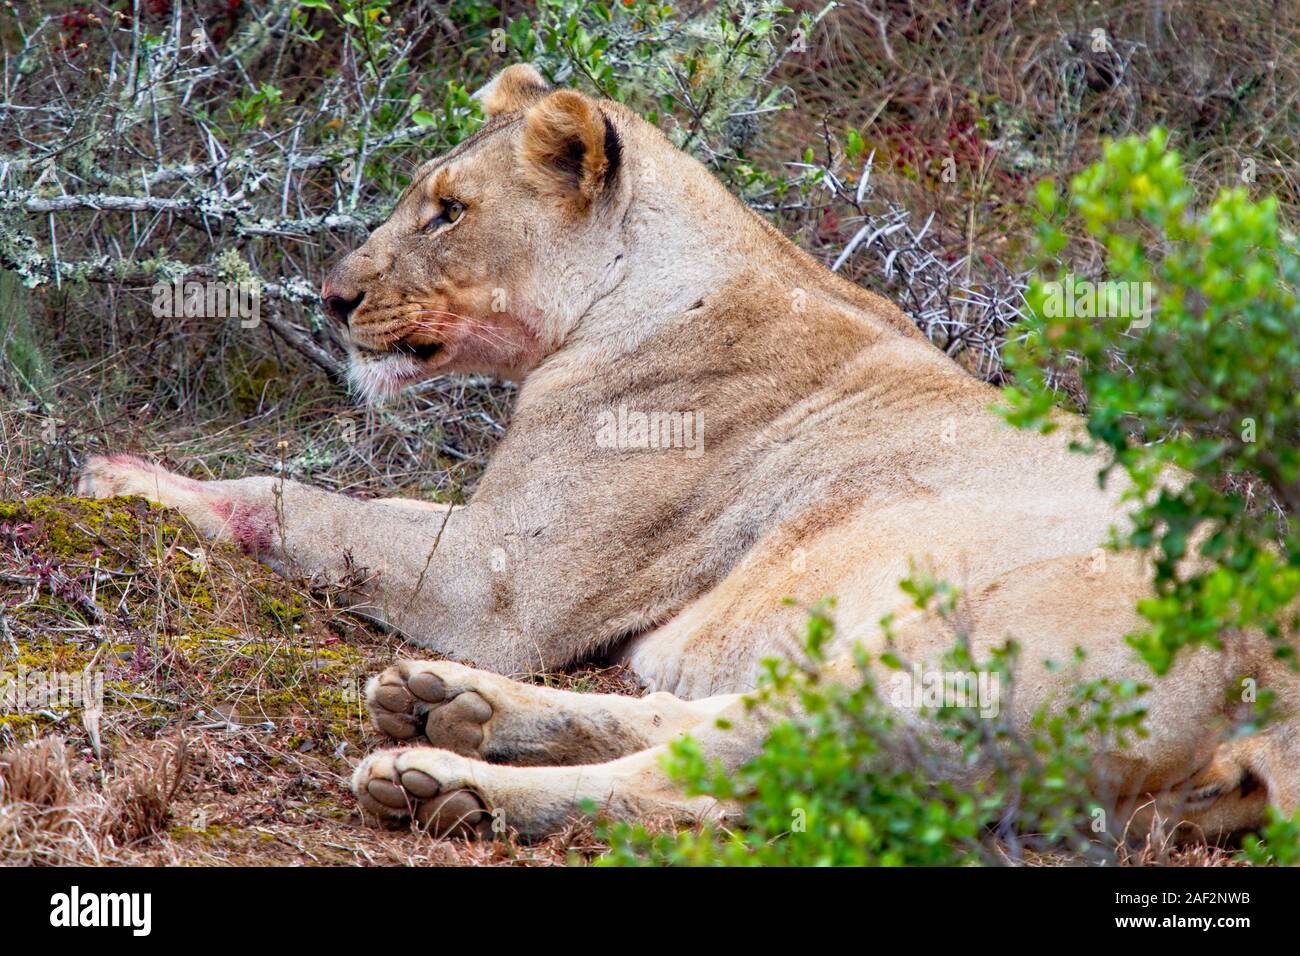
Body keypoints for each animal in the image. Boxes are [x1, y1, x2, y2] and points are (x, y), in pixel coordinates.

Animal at [78, 67, 1289, 842]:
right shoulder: (493, 546)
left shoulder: (499, 583)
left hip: (956, 672)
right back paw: (443, 704)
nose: (331, 298)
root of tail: (1269, 686)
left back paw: (437, 778)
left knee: (689, 783)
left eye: (449, 211)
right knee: (699, 740)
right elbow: (344, 505)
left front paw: (125, 480)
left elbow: (301, 503)